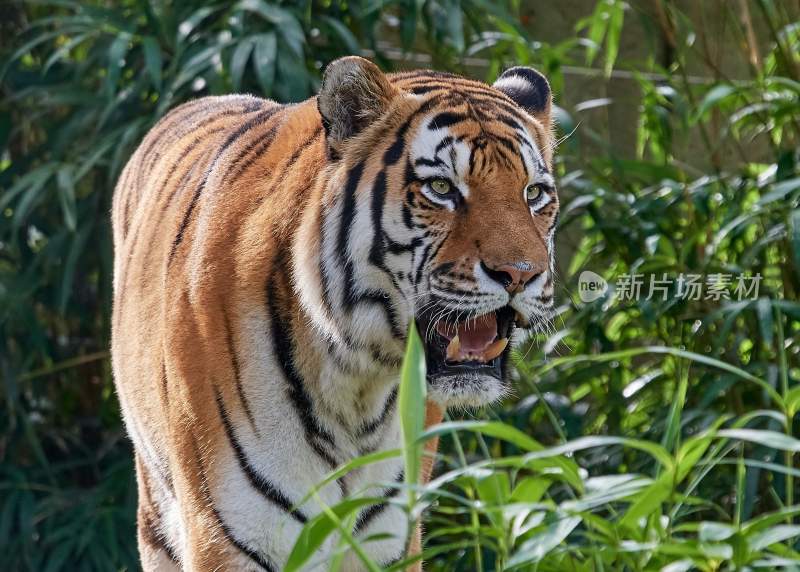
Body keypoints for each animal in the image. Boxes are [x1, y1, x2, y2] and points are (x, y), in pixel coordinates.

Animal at [111, 54, 556, 572]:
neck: (354, 385)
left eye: (533, 194)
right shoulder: (227, 536)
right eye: (441, 187)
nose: (521, 274)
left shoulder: (391, 540)